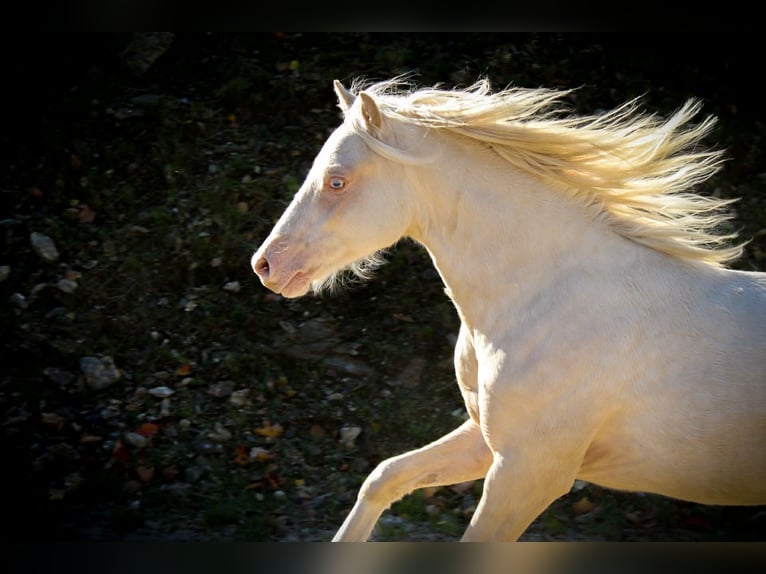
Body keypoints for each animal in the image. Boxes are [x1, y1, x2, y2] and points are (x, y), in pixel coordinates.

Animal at [251, 77, 766, 541]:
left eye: (337, 181)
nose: (266, 265)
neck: (544, 300)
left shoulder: (529, 472)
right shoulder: (486, 444)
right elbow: (384, 478)